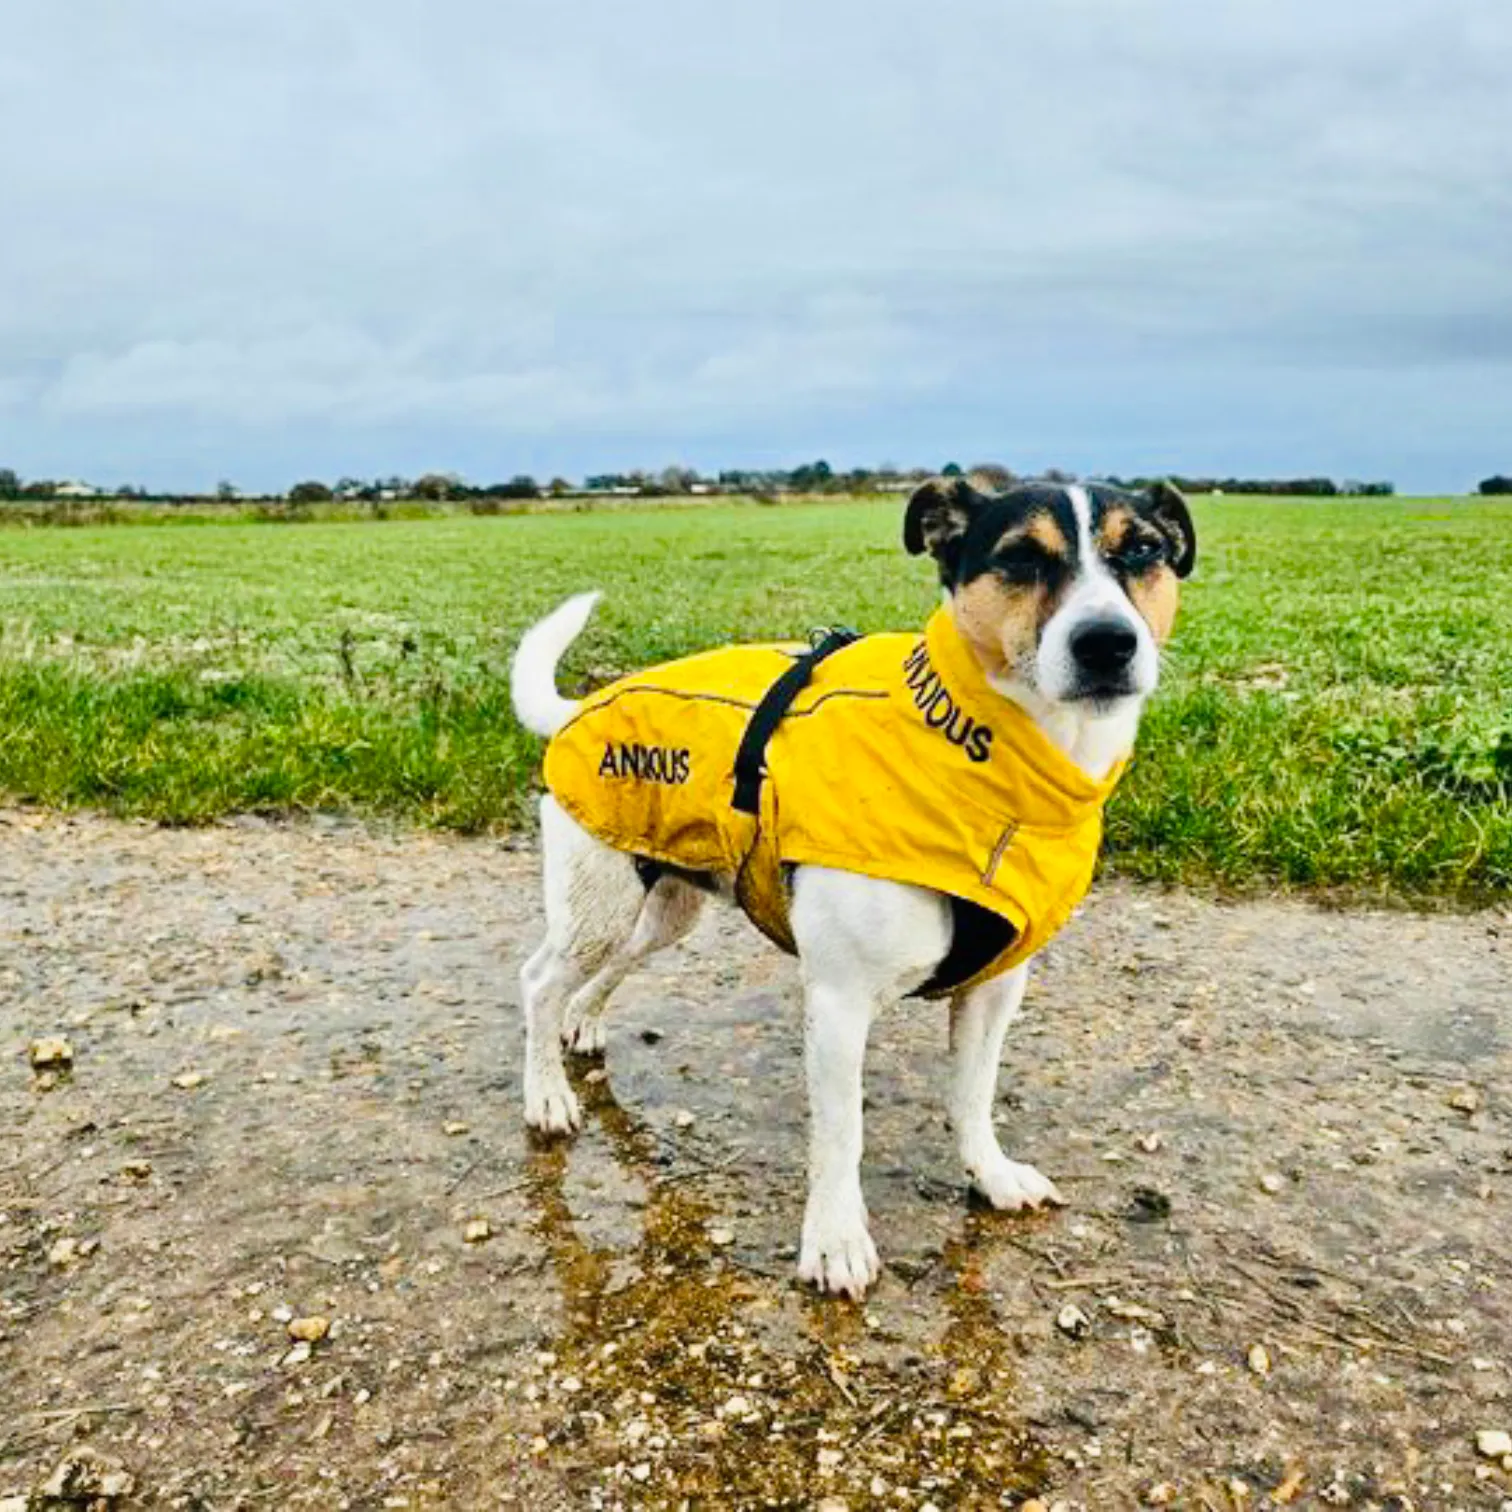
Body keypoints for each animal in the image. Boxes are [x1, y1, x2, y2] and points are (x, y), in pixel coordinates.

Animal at [508, 480, 1191, 1300]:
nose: (1107, 643)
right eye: (1021, 556)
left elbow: (973, 1095)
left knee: (604, 968)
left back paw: (582, 1024)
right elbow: (842, 1134)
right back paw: (546, 1095)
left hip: (666, 906)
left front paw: (989, 1175)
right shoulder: (838, 1003)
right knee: (540, 980)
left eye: (1144, 549)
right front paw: (835, 1242)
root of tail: (581, 707)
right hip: (601, 904)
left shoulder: (995, 990)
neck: (985, 765)